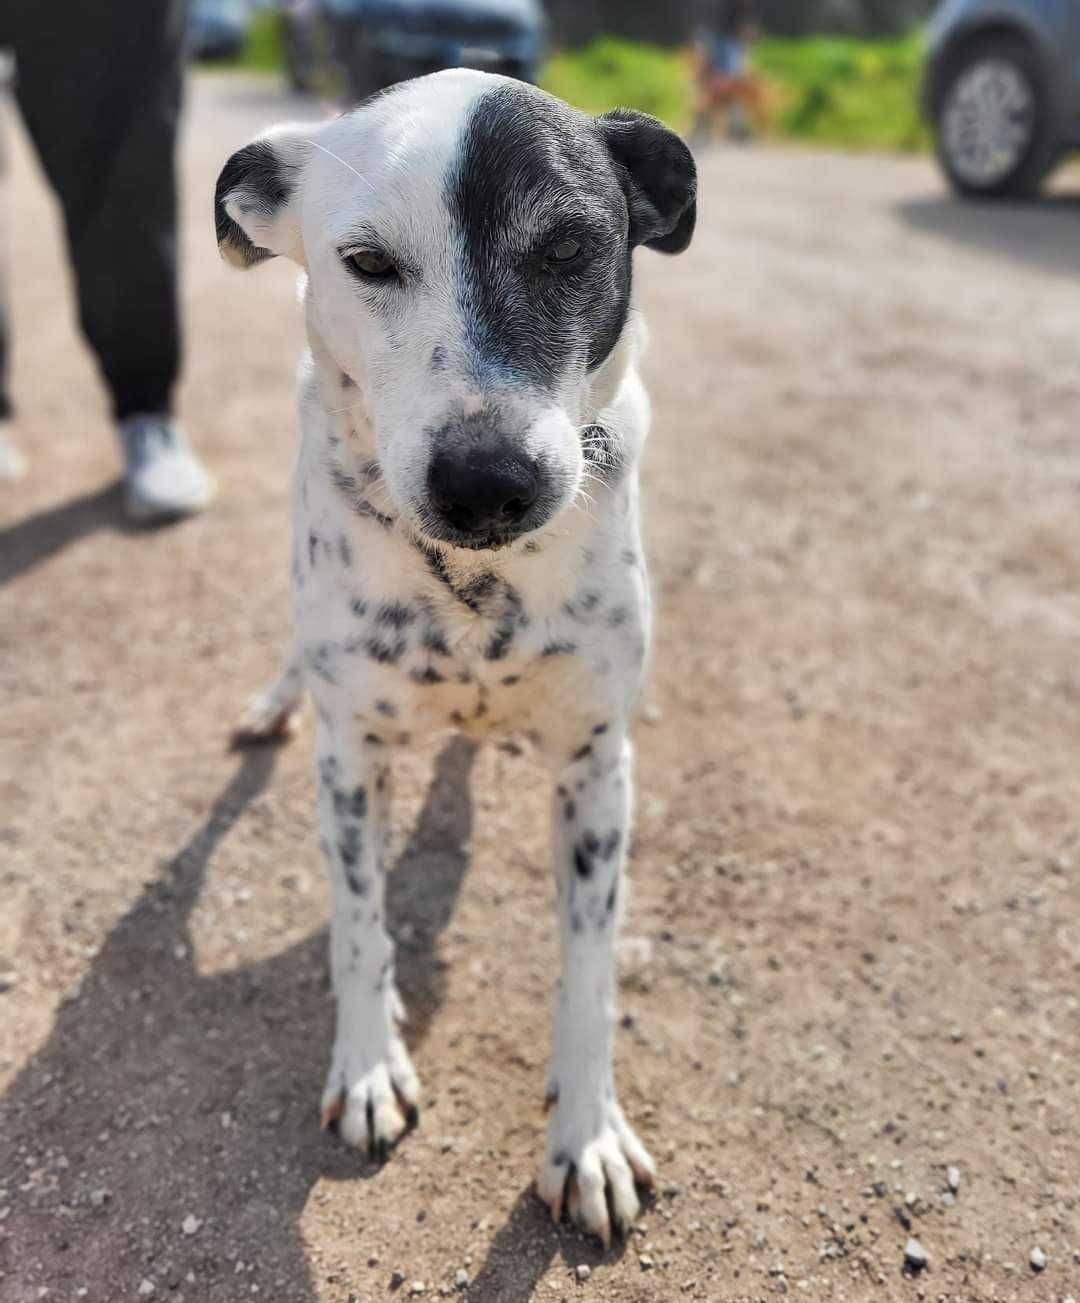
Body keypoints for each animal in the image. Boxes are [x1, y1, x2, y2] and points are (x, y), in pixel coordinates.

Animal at [214, 68, 693, 1240]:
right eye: (368, 262)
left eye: (569, 248)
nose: (487, 482)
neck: (475, 586)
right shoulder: (349, 759)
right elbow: (357, 925)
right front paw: (368, 1061)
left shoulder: (598, 768)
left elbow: (589, 970)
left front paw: (586, 1135)